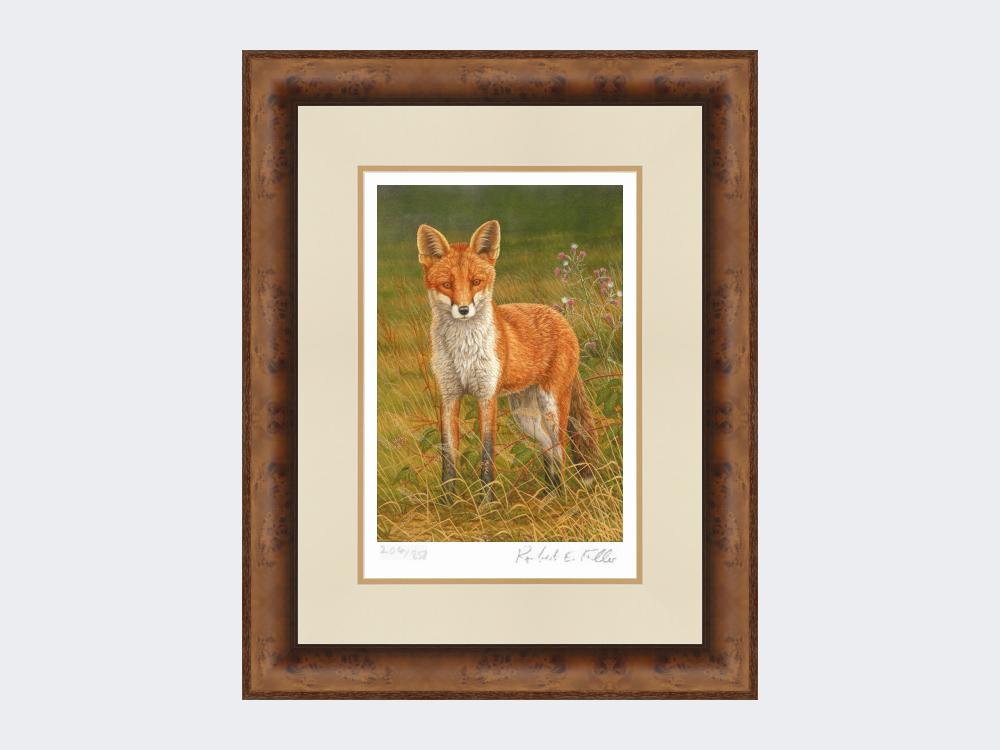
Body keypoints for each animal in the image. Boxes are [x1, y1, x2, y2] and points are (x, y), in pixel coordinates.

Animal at [417, 219, 600, 502]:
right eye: (447, 284)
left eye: (476, 282)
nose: (463, 310)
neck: (463, 351)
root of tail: (560, 317)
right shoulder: (449, 395)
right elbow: (448, 453)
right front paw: (447, 502)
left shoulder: (486, 395)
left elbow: (487, 452)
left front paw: (486, 502)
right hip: (525, 415)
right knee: (548, 447)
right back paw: (549, 494)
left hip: (551, 407)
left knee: (561, 448)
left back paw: (560, 498)